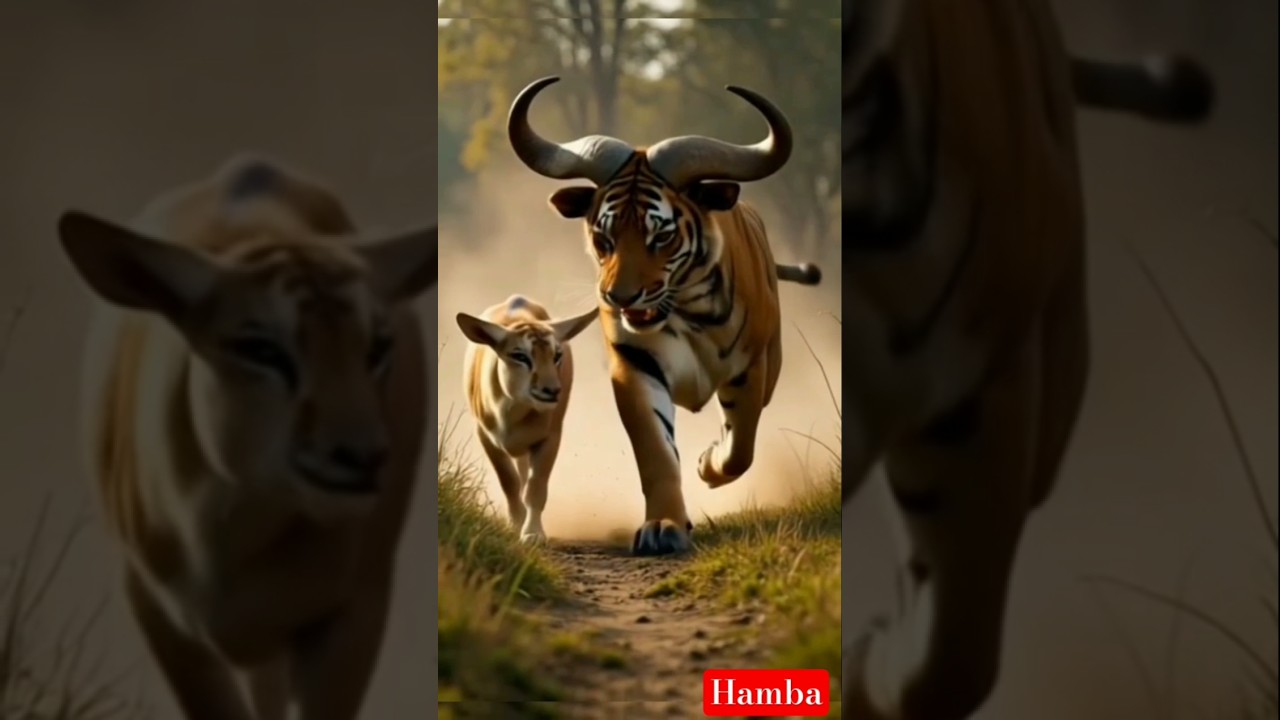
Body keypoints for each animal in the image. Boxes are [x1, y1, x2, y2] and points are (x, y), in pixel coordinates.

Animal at [456, 295, 600, 545]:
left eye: (557, 355)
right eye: (520, 356)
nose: (551, 390)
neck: (511, 412)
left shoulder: (550, 438)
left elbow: (535, 488)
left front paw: (532, 533)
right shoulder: (486, 437)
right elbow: (509, 483)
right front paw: (515, 526)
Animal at [506, 75, 823, 556]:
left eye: (662, 236)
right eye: (603, 236)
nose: (618, 297)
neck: (686, 310)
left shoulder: (751, 368)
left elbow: (741, 445)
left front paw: (708, 463)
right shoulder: (635, 368)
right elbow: (655, 453)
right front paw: (664, 526)